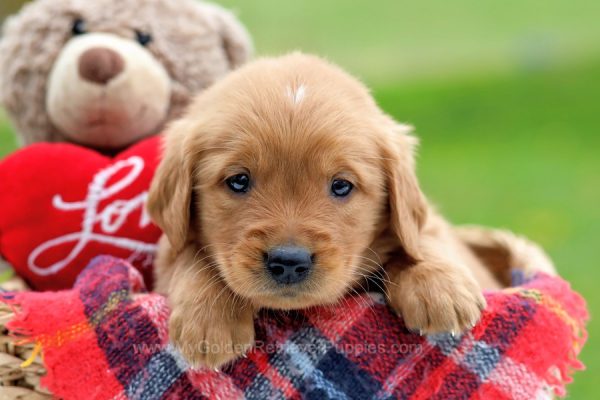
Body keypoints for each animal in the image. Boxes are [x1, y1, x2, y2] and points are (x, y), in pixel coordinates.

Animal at [148, 52, 500, 368]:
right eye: (238, 181)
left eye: (341, 185)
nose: (289, 262)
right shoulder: (166, 255)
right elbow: (190, 258)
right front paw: (209, 320)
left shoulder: (426, 226)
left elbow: (422, 239)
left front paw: (439, 288)